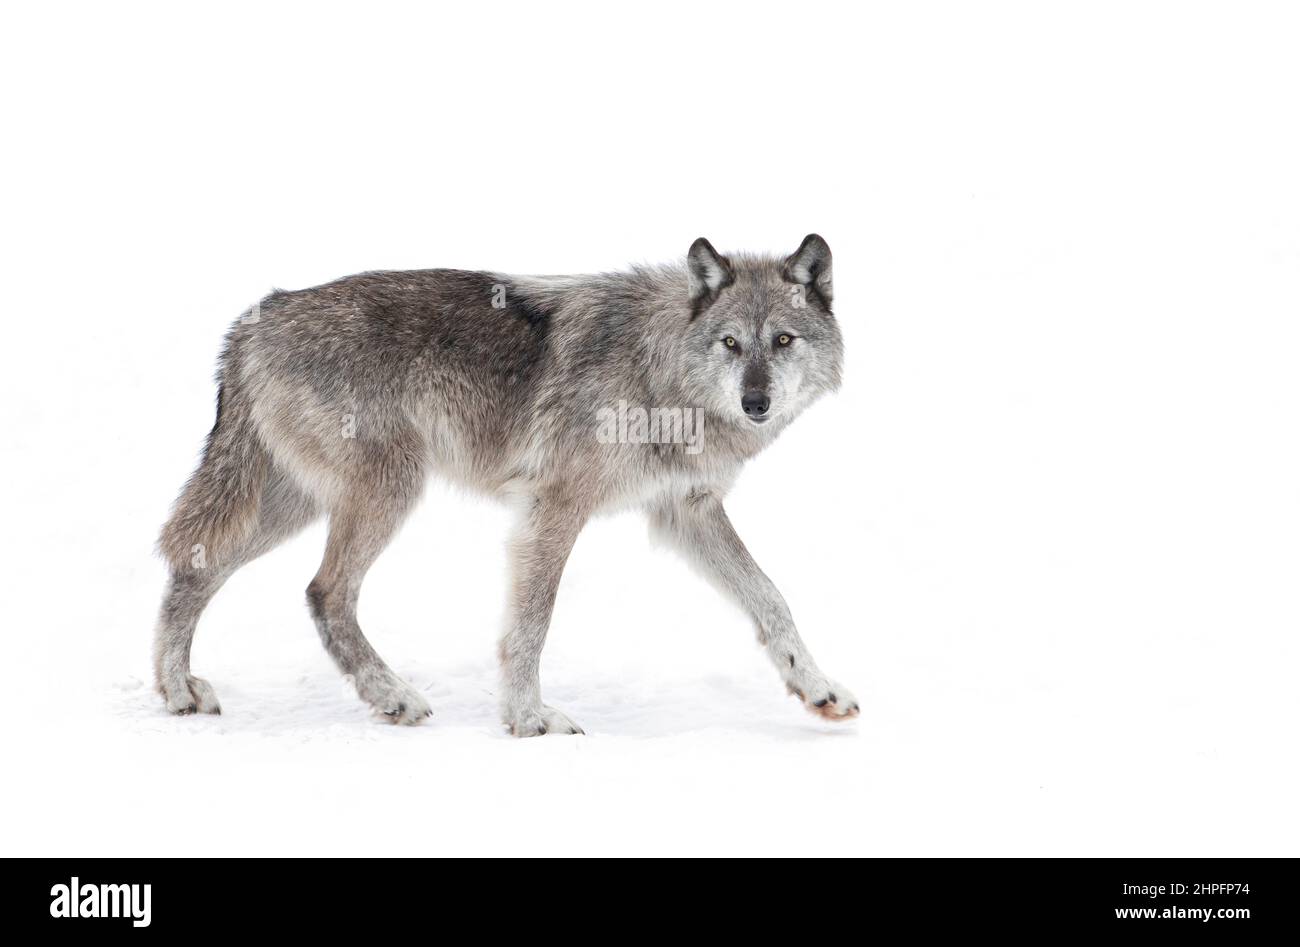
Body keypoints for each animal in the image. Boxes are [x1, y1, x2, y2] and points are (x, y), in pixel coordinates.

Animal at [154, 234, 858, 735]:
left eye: (783, 340)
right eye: (731, 343)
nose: (755, 402)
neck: (657, 371)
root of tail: (255, 319)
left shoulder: (687, 510)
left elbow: (770, 598)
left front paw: (819, 689)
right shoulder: (556, 507)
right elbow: (532, 621)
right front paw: (528, 719)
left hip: (291, 503)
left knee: (198, 565)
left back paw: (177, 690)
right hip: (387, 490)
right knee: (323, 592)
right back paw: (392, 696)